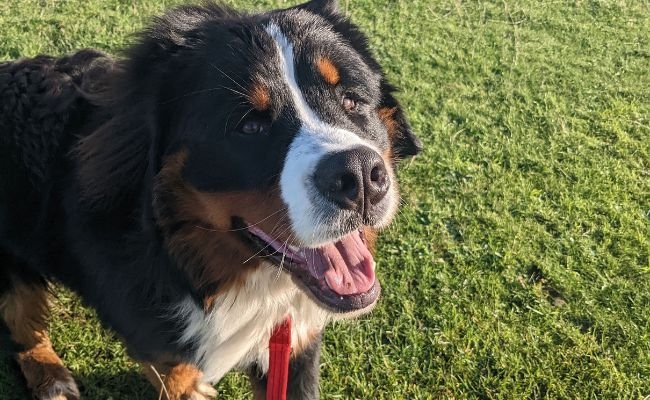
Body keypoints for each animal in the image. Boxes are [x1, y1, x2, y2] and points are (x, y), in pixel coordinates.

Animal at [0, 1, 420, 398]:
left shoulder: (296, 339)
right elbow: (172, 371)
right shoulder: (153, 335)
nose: (361, 176)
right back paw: (52, 379)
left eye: (352, 101)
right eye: (249, 125)